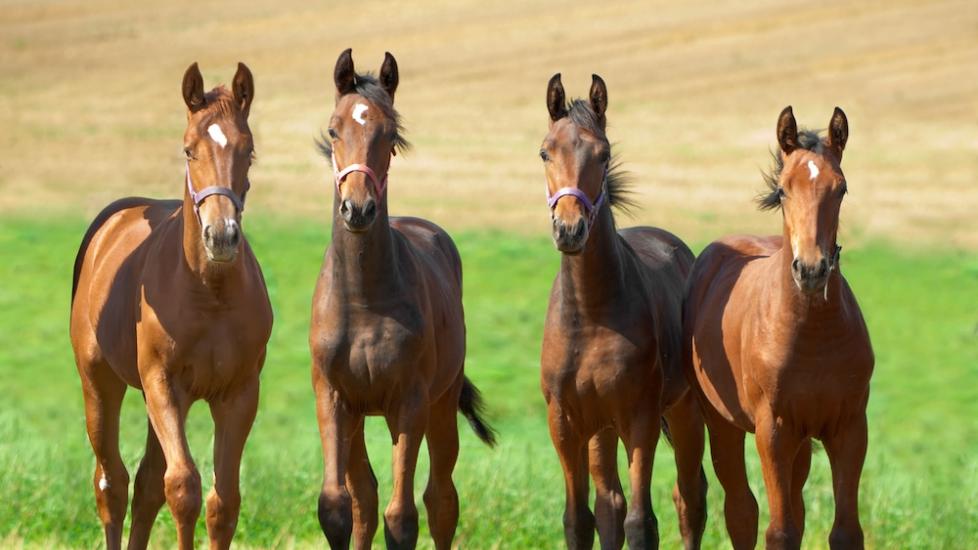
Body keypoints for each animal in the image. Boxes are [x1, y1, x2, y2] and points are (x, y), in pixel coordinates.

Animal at [69, 62, 272, 550]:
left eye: (249, 151)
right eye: (188, 149)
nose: (221, 236)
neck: (209, 293)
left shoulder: (239, 394)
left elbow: (223, 502)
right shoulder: (164, 384)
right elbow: (182, 488)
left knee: (144, 484)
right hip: (101, 383)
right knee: (112, 482)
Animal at [309, 49, 496, 550]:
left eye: (389, 134)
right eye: (334, 129)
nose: (357, 208)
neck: (363, 301)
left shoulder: (409, 402)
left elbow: (403, 517)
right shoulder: (334, 397)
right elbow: (338, 506)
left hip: (440, 404)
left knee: (440, 500)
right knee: (365, 497)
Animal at [538, 73, 708, 550]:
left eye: (604, 153)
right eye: (545, 151)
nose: (570, 228)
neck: (591, 314)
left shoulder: (640, 417)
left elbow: (641, 522)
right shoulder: (565, 421)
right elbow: (579, 520)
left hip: (684, 412)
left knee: (690, 498)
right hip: (602, 427)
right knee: (609, 504)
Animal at [683, 106, 874, 549]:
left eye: (841, 189)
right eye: (784, 190)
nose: (811, 270)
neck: (813, 334)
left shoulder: (850, 428)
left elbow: (844, 531)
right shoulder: (773, 431)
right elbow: (780, 530)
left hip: (802, 441)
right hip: (722, 424)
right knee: (740, 510)